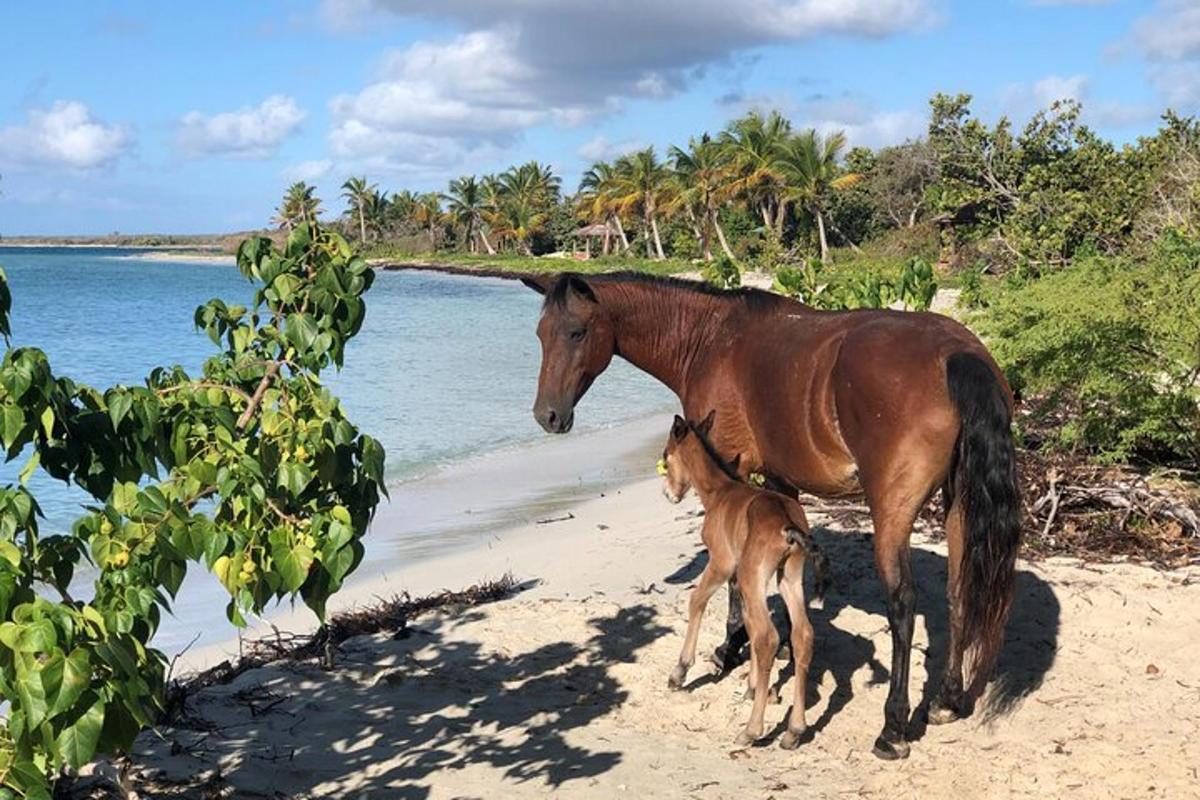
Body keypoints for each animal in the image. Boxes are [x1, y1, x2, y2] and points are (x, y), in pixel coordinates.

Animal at [657, 412, 825, 753]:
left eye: (667, 456)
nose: (669, 495)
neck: (719, 492)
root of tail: (788, 525)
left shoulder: (722, 564)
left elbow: (697, 601)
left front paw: (679, 672)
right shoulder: (739, 578)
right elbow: (745, 619)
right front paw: (754, 687)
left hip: (753, 574)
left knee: (768, 636)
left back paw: (751, 730)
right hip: (787, 577)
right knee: (800, 635)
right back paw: (793, 731)